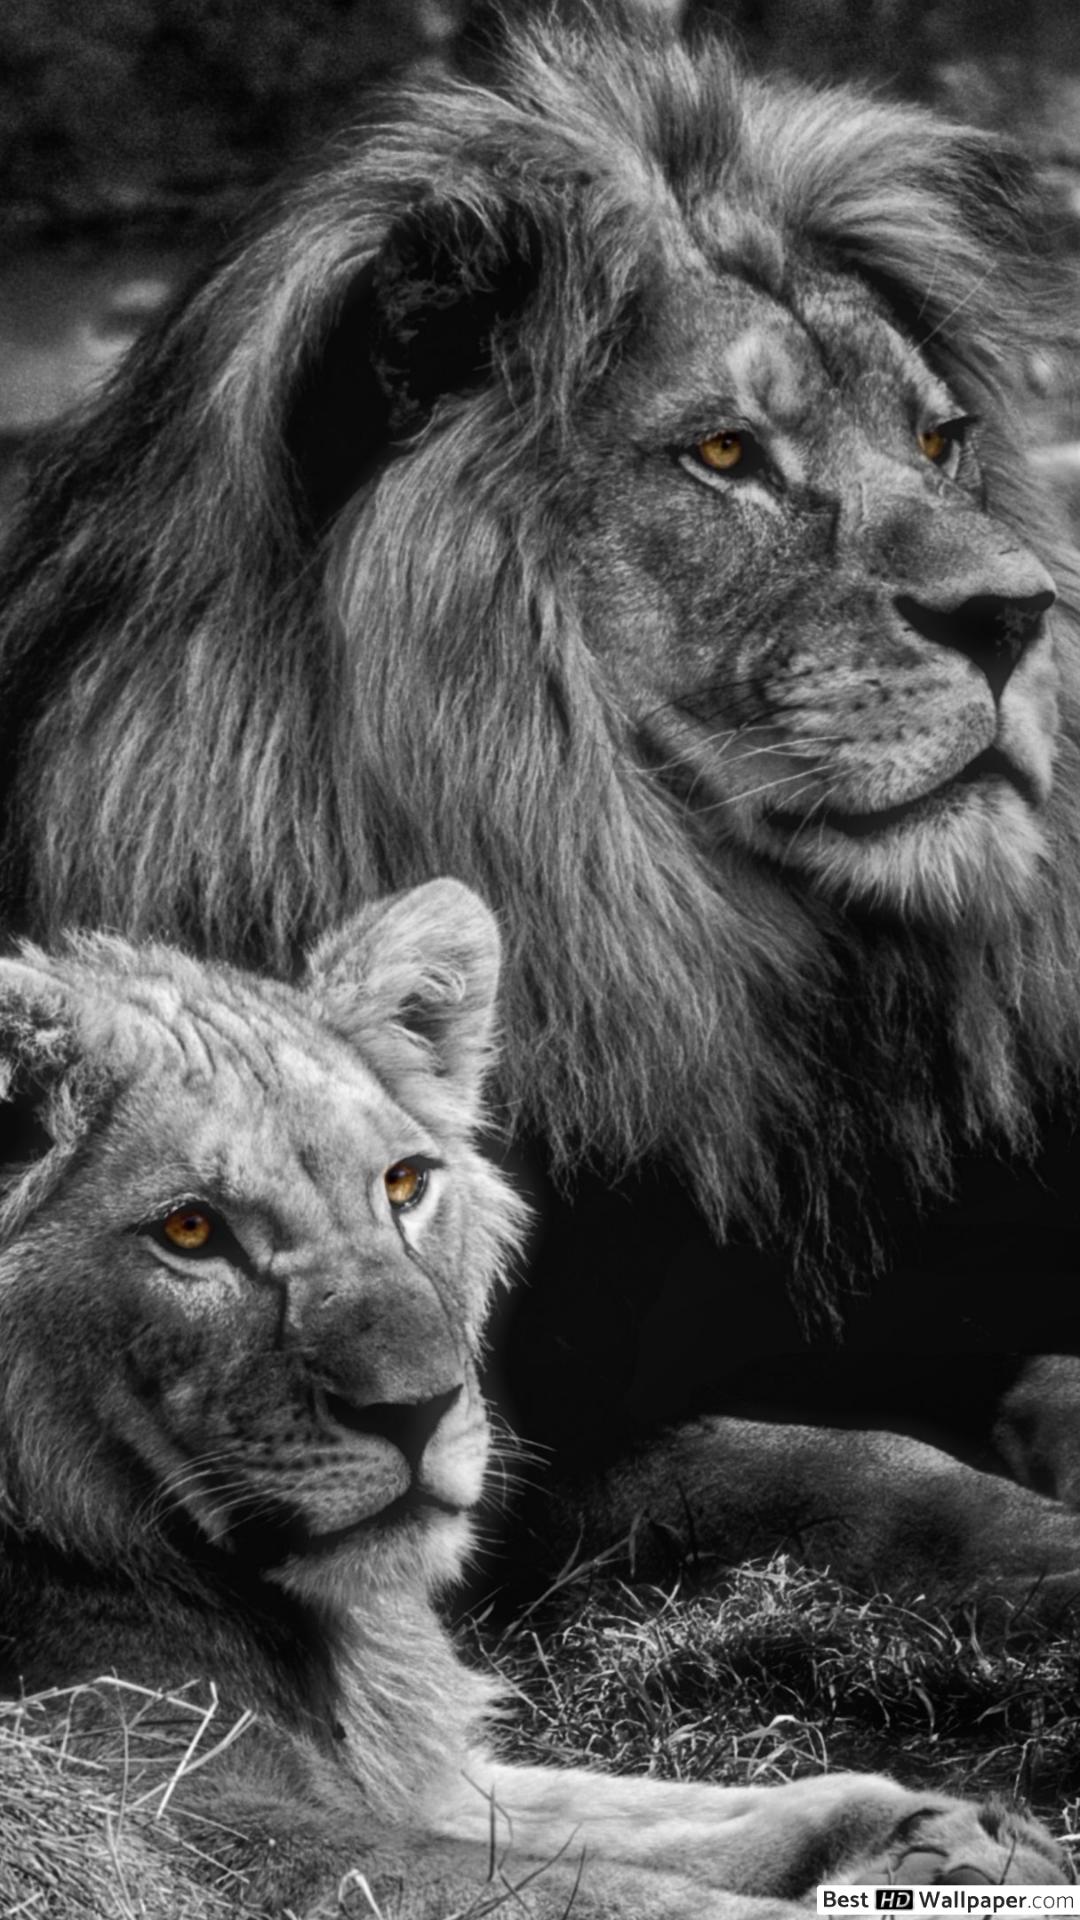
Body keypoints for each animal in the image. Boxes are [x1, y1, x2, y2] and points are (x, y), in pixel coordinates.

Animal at [0, 879, 1069, 1916]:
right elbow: (615, 1897)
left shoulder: (432, 1780)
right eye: (189, 1230)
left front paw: (949, 1838)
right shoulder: (178, 1830)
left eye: (403, 1184)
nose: (420, 1411)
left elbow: (651, 1819)